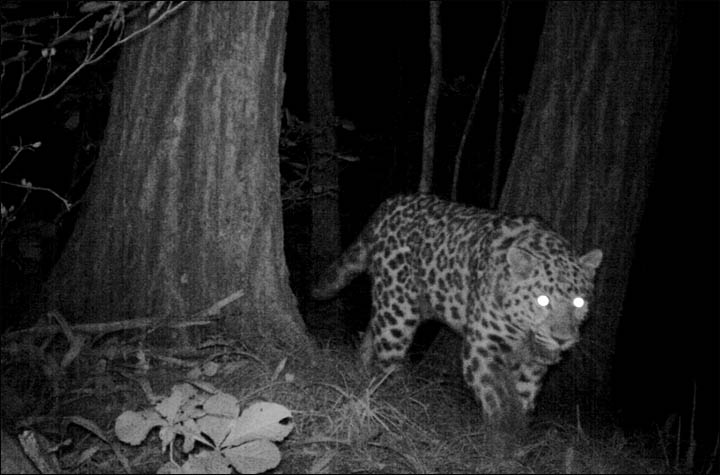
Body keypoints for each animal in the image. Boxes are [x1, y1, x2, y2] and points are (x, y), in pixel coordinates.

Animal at [312, 195, 600, 426]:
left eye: (579, 302)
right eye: (542, 300)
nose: (562, 339)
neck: (522, 333)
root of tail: (389, 203)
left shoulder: (533, 366)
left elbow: (524, 399)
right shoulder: (481, 348)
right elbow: (496, 398)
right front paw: (501, 437)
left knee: (373, 329)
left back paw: (361, 369)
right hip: (398, 306)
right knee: (390, 354)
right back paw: (398, 400)